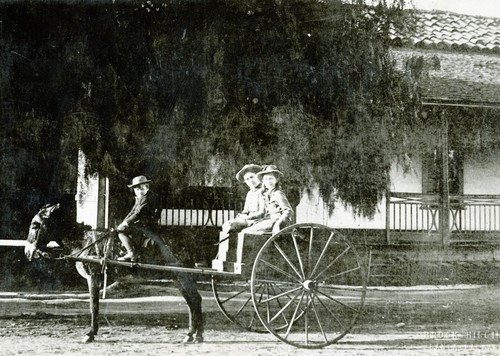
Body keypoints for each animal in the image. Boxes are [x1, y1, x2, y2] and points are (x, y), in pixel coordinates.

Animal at [24, 204, 204, 344]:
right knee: (193, 300)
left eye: (35, 225)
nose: (28, 252)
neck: (85, 243)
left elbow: (93, 306)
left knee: (193, 299)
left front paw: (90, 334)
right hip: (177, 276)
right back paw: (194, 335)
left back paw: (193, 334)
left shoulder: (93, 277)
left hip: (181, 275)